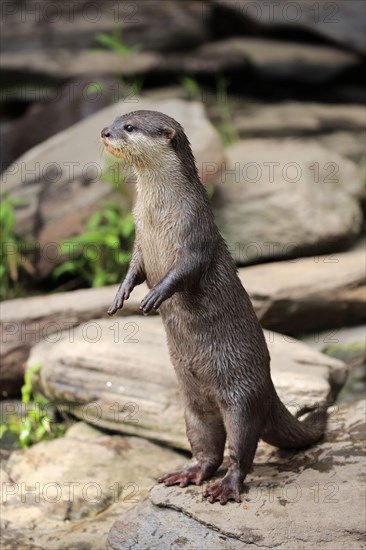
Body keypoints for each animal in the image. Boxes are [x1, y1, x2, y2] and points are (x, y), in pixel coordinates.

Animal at [101, 110, 328, 506]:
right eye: (114, 120)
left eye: (129, 127)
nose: (104, 132)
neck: (157, 215)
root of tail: (270, 390)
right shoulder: (140, 240)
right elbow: (134, 268)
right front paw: (120, 295)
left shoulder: (195, 233)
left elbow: (185, 271)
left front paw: (155, 296)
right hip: (193, 406)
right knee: (208, 449)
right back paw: (188, 473)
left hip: (242, 399)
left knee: (241, 450)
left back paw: (225, 488)